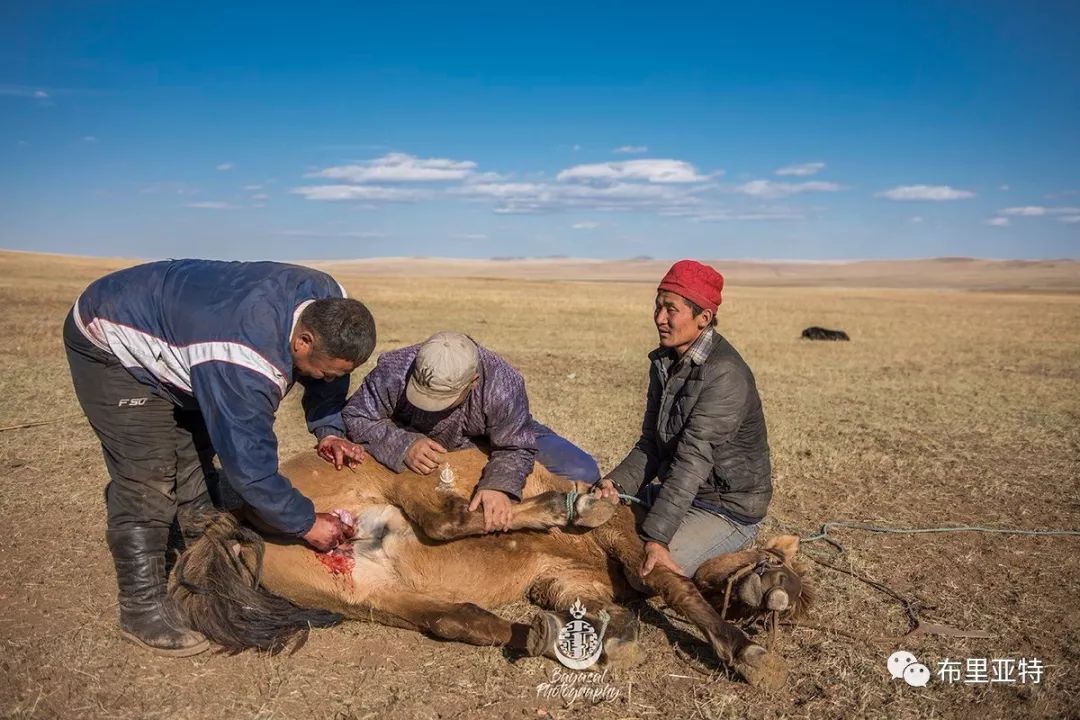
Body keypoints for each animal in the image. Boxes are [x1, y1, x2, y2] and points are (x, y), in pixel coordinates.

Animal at [170, 446, 812, 690]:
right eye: (781, 571)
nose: (787, 605)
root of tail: (237, 514)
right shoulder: (625, 543)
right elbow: (675, 589)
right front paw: (749, 654)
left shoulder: (560, 580)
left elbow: (604, 607)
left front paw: (613, 636)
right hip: (401, 474)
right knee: (445, 520)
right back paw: (567, 505)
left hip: (367, 594)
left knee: (455, 619)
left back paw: (537, 636)